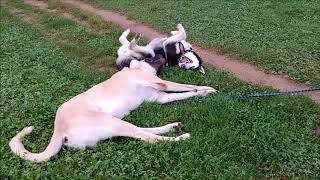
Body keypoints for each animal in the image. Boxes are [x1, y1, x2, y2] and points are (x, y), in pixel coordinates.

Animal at [10, 23, 216, 162]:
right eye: (151, 59)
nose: (161, 56)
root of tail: (58, 129)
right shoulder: (162, 84)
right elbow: (187, 86)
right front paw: (206, 89)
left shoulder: (162, 96)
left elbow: (187, 92)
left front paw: (205, 92)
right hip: (113, 122)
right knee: (149, 138)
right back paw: (181, 137)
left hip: (116, 123)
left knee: (143, 131)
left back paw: (174, 126)